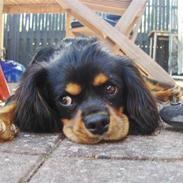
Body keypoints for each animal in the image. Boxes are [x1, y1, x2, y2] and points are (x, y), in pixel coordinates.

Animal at [0, 36, 181, 143]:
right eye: (65, 100)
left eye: (110, 88)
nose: (98, 123)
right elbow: (12, 104)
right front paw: (3, 122)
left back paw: (175, 91)